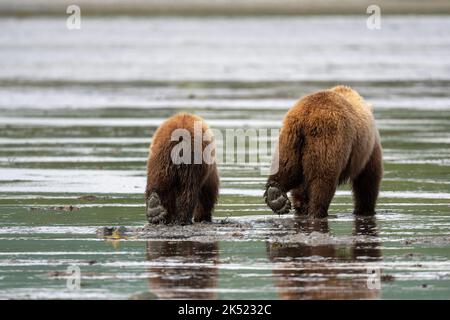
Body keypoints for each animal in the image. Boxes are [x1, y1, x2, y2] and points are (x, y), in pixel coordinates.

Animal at [264, 85, 384, 218]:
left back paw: (276, 197)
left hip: (290, 139)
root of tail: (306, 115)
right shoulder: (369, 148)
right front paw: (365, 210)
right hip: (328, 137)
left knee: (287, 167)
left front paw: (301, 205)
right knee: (322, 178)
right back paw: (318, 211)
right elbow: (369, 178)